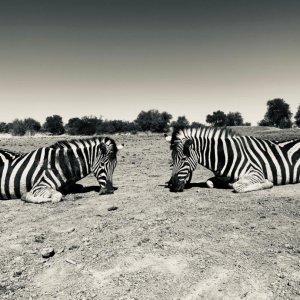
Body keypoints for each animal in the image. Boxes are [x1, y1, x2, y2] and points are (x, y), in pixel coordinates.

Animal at [165, 126, 300, 192]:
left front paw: (267, 183)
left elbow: (237, 186)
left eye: (183, 158)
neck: (225, 156)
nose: (172, 185)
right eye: (172, 160)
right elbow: (209, 182)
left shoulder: (256, 172)